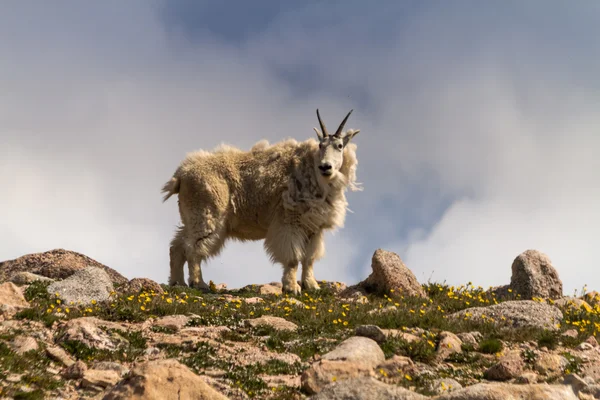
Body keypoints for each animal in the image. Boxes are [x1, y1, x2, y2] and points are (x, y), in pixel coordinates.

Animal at [161, 109, 360, 294]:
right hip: (207, 213)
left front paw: (311, 286)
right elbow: (293, 258)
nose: (325, 167)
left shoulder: (314, 228)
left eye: (339, 146)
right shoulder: (290, 220)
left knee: (177, 247)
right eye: (320, 145)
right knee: (193, 248)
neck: (313, 172)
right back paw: (199, 283)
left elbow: (309, 258)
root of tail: (181, 175)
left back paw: (178, 282)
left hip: (192, 215)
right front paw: (292, 288)